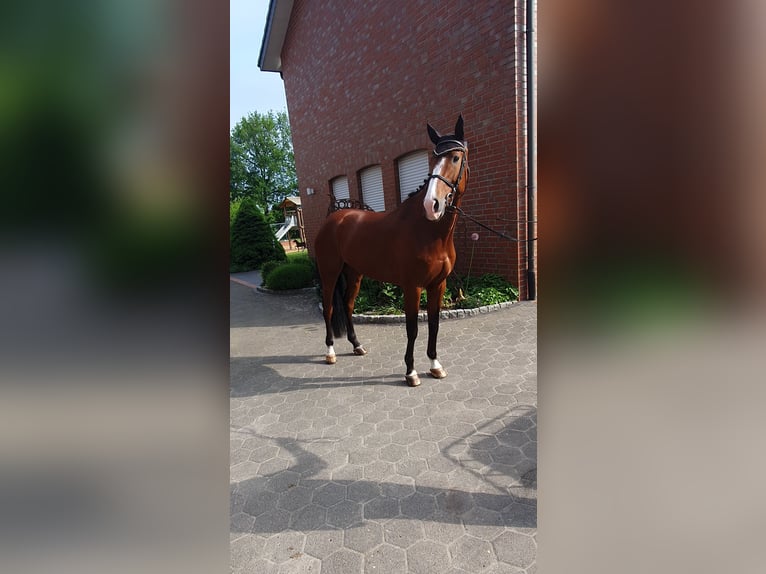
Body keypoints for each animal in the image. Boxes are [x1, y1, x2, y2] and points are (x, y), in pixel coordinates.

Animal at [314, 116, 468, 388]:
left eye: (456, 158)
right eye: (434, 158)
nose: (432, 204)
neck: (428, 231)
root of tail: (334, 219)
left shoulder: (438, 284)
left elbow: (434, 325)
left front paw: (435, 365)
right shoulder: (412, 286)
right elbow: (412, 329)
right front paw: (411, 372)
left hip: (354, 273)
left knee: (348, 305)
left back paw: (357, 345)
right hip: (329, 273)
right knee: (330, 308)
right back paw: (330, 352)